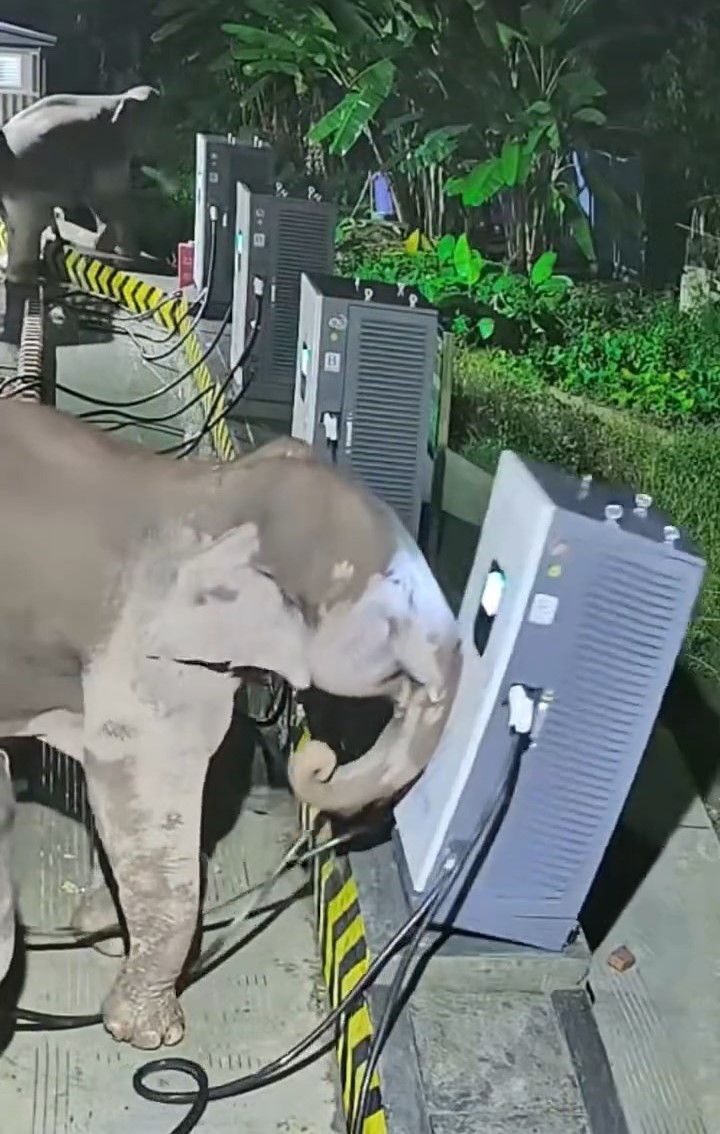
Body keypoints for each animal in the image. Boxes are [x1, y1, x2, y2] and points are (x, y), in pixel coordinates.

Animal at [0, 86, 158, 283]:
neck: (118, 98)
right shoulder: (108, 146)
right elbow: (110, 196)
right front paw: (124, 258)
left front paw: (103, 248)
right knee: (28, 226)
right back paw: (21, 278)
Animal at [0, 404, 460, 1050]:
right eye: (395, 617)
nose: (317, 757)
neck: (220, 491)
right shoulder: (145, 652)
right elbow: (140, 793)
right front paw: (149, 1035)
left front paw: (101, 928)